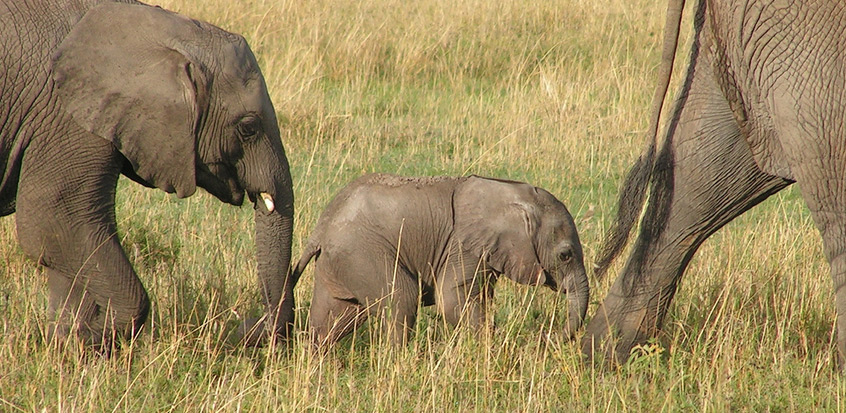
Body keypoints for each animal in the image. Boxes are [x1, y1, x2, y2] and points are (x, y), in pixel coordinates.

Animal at [0, 0, 295, 350]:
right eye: (249, 127)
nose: (246, 326)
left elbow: (64, 245)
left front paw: (70, 345)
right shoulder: (68, 119)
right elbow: (55, 222)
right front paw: (90, 339)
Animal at [291, 173, 589, 347]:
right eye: (565, 255)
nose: (545, 337)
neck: (514, 196)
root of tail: (322, 226)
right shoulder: (463, 246)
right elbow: (452, 300)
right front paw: (499, 345)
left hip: (342, 260)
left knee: (333, 317)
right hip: (363, 252)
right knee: (401, 298)